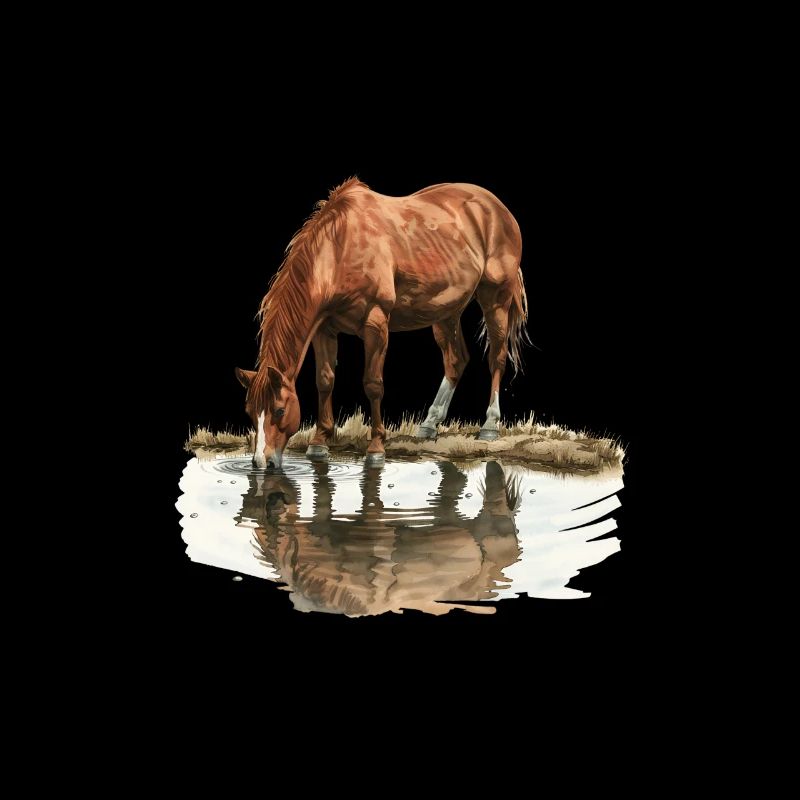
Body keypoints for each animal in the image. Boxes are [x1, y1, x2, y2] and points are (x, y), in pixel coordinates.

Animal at [236, 178, 529, 469]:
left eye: (279, 410)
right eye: (249, 411)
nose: (262, 462)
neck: (339, 248)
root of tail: (497, 207)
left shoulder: (375, 323)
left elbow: (373, 384)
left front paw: (376, 448)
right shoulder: (324, 328)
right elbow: (325, 380)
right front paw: (319, 443)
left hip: (495, 299)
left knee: (496, 357)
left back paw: (489, 426)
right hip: (447, 311)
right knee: (456, 360)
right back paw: (429, 424)